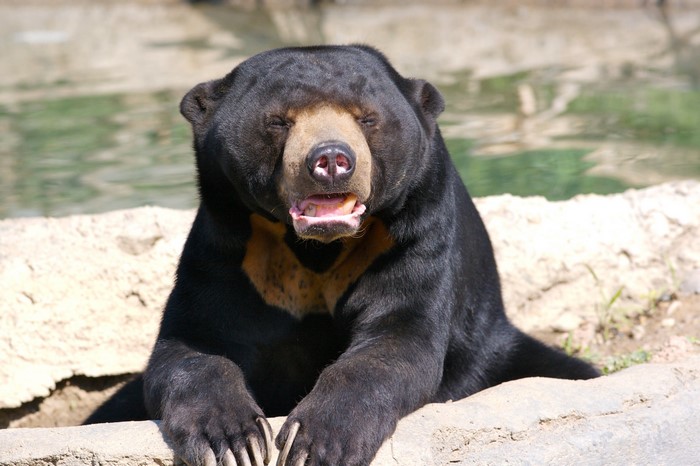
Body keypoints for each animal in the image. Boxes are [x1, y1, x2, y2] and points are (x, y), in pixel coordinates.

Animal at [86, 45, 599, 466]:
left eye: (366, 118)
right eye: (279, 121)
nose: (331, 159)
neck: (316, 247)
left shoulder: (412, 238)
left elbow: (396, 340)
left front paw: (315, 442)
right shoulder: (230, 250)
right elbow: (193, 345)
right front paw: (232, 442)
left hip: (493, 348)